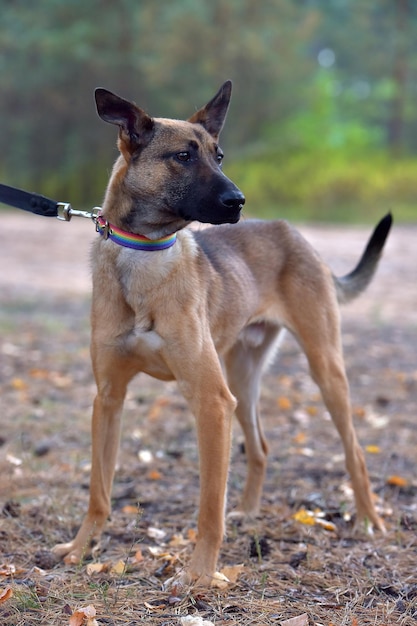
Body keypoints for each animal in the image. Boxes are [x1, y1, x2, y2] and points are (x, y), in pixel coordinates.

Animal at [52, 80, 390, 584]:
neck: (144, 255)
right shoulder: (108, 397)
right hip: (242, 380)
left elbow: (209, 506)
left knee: (355, 452)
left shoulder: (211, 401)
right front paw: (80, 548)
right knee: (261, 447)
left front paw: (199, 576)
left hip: (323, 370)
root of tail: (295, 234)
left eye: (220, 156)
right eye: (183, 157)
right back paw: (248, 513)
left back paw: (369, 520)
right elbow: (99, 490)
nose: (239, 202)